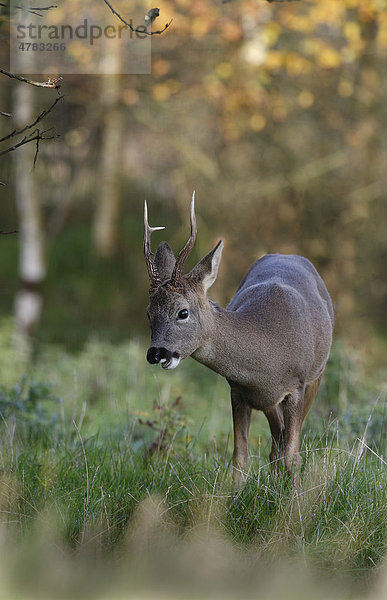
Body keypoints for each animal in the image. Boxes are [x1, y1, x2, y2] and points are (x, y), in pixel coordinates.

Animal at [144, 195, 334, 486]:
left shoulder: (297, 385)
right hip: (268, 401)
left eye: (183, 312)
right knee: (276, 440)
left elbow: (293, 455)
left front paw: (295, 497)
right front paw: (235, 494)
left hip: (317, 374)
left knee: (286, 441)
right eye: (148, 313)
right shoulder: (238, 390)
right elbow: (240, 456)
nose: (156, 352)